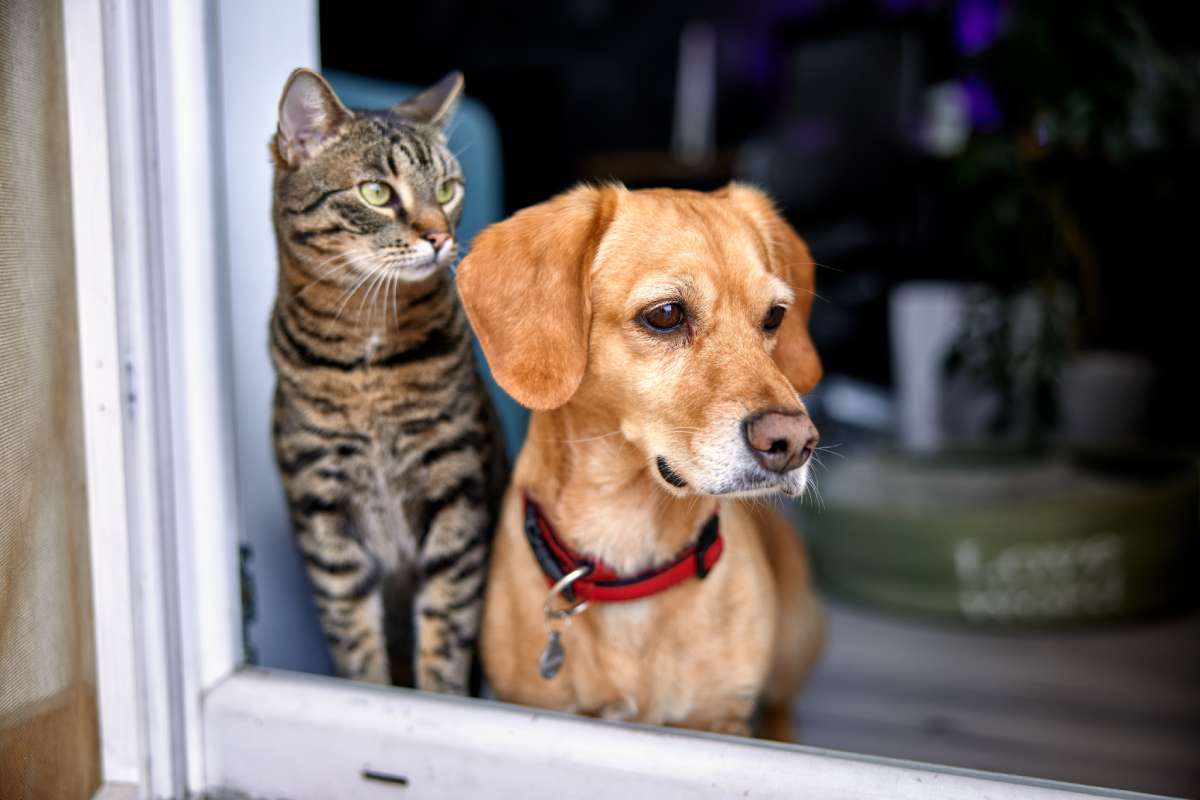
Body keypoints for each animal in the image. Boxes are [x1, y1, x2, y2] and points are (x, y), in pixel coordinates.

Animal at [266, 68, 501, 695]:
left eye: (446, 190)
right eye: (377, 192)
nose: (439, 237)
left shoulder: (456, 486)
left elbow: (447, 624)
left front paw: (439, 700)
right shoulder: (322, 503)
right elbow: (353, 632)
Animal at [456, 184, 825, 743]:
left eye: (775, 316)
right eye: (667, 313)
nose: (794, 441)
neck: (629, 537)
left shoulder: (723, 719)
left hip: (795, 641)